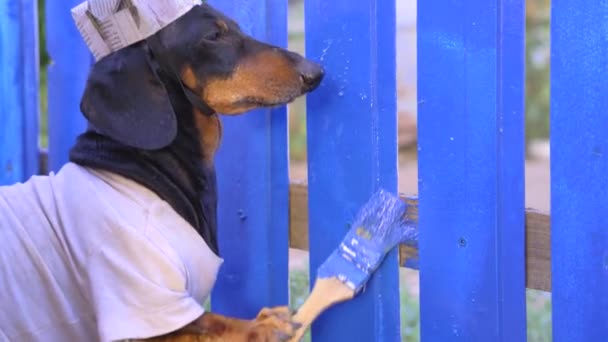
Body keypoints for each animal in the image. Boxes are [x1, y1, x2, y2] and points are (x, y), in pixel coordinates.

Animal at [0, 3, 324, 342]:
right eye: (213, 35)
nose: (315, 72)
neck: (144, 168)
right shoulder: (146, 296)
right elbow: (208, 321)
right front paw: (262, 326)